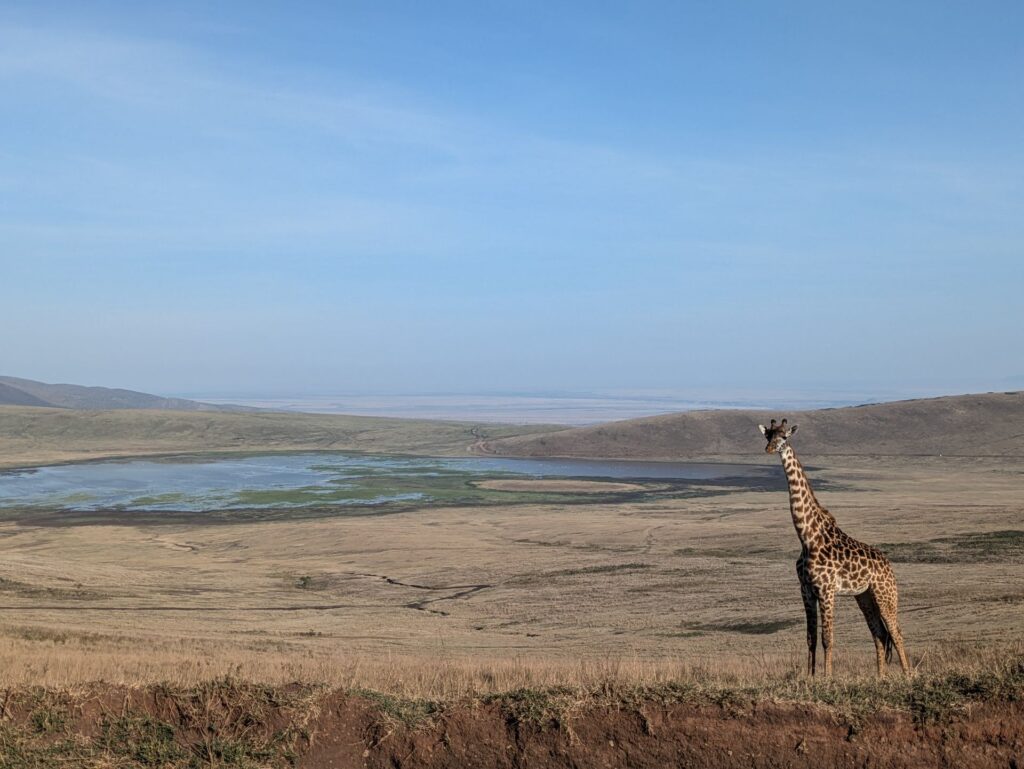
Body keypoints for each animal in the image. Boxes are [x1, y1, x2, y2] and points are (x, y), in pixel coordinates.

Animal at [759, 419, 910, 677]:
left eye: (784, 437)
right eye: (767, 435)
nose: (769, 449)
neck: (807, 537)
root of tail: (889, 566)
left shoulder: (827, 590)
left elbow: (827, 638)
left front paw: (828, 677)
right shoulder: (806, 590)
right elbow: (810, 638)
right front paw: (811, 676)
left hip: (886, 594)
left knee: (897, 633)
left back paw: (908, 675)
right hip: (864, 596)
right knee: (879, 633)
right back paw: (880, 677)